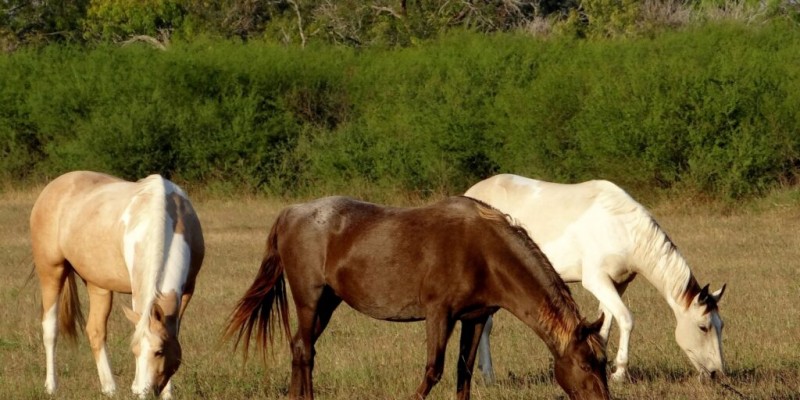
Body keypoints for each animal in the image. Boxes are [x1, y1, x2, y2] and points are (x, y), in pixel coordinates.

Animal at [30, 171, 205, 398]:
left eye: (159, 351)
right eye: (135, 351)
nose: (143, 391)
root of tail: (53, 186)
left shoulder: (187, 290)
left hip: (97, 285)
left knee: (95, 331)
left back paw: (110, 388)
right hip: (51, 272)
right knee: (50, 329)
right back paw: (51, 386)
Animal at [224, 195, 610, 400]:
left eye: (604, 364)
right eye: (586, 365)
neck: (485, 252)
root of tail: (291, 212)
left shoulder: (475, 318)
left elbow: (463, 373)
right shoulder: (439, 314)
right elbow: (433, 371)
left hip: (328, 303)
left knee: (300, 349)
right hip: (309, 298)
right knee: (304, 350)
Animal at [465, 174, 726, 383]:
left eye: (721, 325)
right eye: (703, 327)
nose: (717, 373)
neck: (622, 227)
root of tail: (470, 194)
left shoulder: (617, 284)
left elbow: (606, 324)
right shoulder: (596, 280)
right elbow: (626, 319)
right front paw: (619, 373)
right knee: (485, 326)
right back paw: (488, 376)